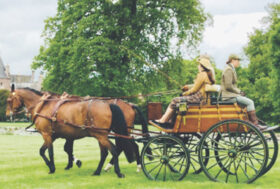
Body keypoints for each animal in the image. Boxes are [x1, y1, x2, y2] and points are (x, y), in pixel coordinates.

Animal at [7, 85, 136, 177]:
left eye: (8, 100)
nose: (8, 115)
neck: (43, 105)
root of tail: (107, 105)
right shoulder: (54, 135)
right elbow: (44, 151)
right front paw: (59, 165)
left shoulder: (47, 134)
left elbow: (49, 152)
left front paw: (52, 168)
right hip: (101, 136)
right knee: (105, 153)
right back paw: (97, 171)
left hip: (101, 136)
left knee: (114, 150)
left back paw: (118, 172)